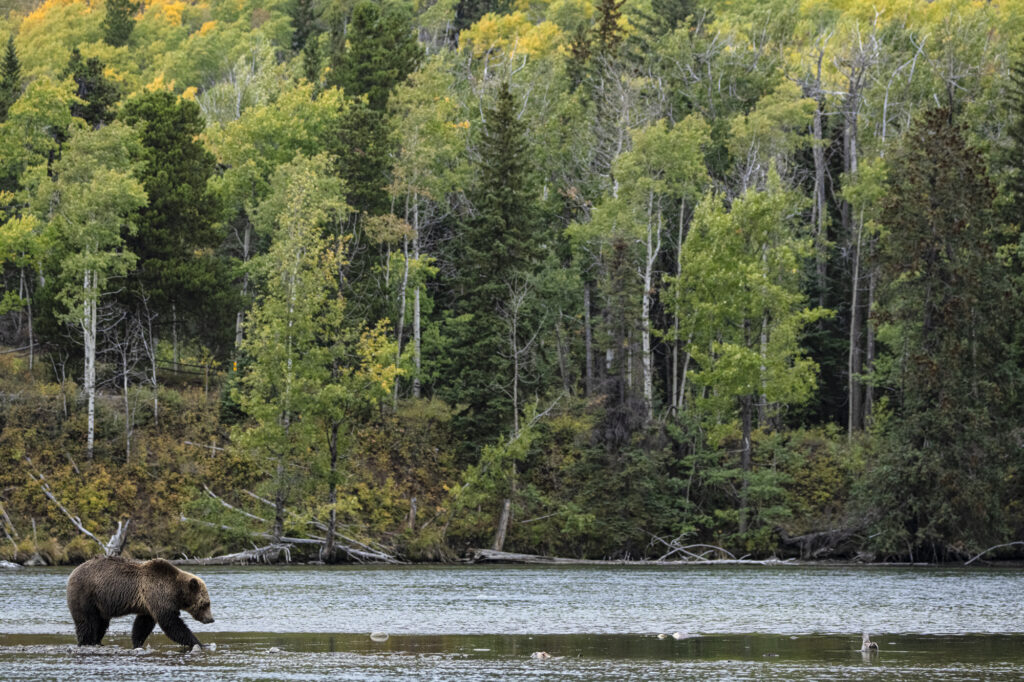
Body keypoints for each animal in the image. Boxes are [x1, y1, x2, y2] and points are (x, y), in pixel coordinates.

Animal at [67, 555, 214, 649]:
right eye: (206, 604)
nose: (210, 619)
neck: (175, 591)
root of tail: (74, 571)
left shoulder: (148, 604)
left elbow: (142, 625)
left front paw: (137, 642)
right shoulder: (157, 594)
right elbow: (171, 623)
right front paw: (200, 643)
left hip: (100, 605)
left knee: (101, 623)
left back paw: (97, 641)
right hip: (85, 595)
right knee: (87, 622)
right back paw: (86, 642)